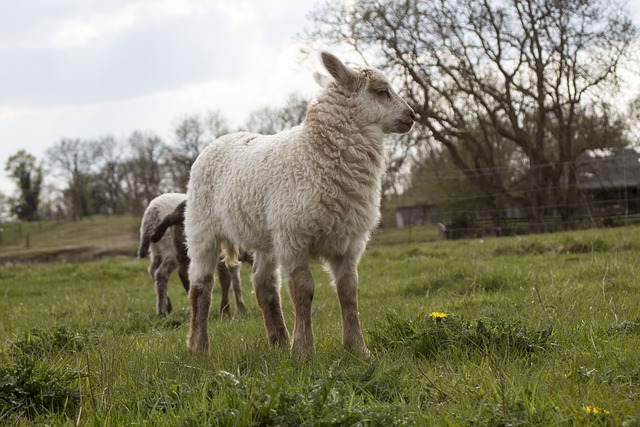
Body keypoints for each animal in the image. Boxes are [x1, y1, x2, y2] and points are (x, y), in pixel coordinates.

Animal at [185, 51, 416, 360]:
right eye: (381, 91)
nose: (412, 115)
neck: (314, 155)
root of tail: (221, 140)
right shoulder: (294, 237)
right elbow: (303, 291)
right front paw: (305, 351)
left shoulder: (349, 242)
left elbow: (349, 291)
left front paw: (357, 349)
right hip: (201, 227)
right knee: (201, 286)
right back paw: (199, 347)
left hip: (266, 234)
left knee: (264, 286)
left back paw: (279, 341)